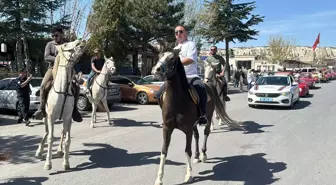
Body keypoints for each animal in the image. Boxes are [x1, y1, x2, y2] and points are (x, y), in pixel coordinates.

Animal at [34, 39, 85, 171]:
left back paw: (59, 150)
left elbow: (67, 139)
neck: (63, 92)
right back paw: (39, 150)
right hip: (45, 117)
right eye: (66, 45)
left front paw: (66, 163)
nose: (81, 41)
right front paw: (48, 164)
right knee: (46, 132)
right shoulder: (51, 117)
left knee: (62, 132)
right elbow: (50, 138)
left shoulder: (67, 118)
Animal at [152, 49, 242, 185]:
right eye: (159, 56)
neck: (177, 100)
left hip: (207, 118)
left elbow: (187, 150)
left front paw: (189, 174)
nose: (156, 69)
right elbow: (164, 151)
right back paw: (196, 156)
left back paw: (203, 154)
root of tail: (209, 85)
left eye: (172, 58)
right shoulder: (167, 128)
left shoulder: (187, 129)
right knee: (197, 136)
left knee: (205, 133)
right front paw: (159, 178)